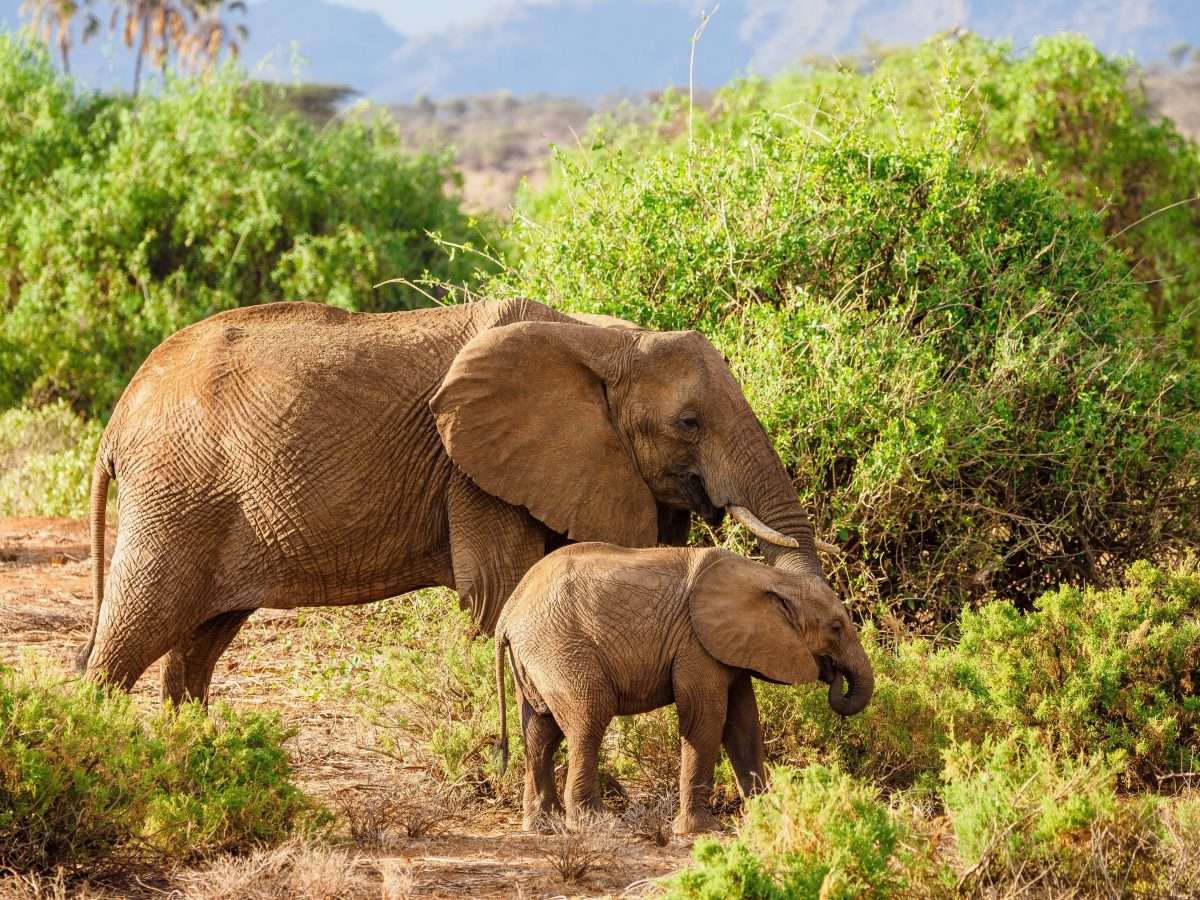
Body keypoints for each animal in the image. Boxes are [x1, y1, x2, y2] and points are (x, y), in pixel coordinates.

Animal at [78, 297, 835, 705]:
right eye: (688, 423)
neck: (601, 337)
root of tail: (118, 417)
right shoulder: (471, 474)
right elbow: (502, 587)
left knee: (198, 643)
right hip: (178, 494)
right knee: (133, 632)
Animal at [493, 542, 873, 835]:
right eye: (836, 628)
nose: (835, 675)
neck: (768, 577)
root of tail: (507, 615)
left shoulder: (732, 647)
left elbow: (744, 726)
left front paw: (766, 819)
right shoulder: (696, 644)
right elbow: (705, 719)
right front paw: (699, 831)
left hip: (537, 657)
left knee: (540, 731)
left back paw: (543, 825)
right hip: (560, 649)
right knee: (589, 718)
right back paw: (596, 824)